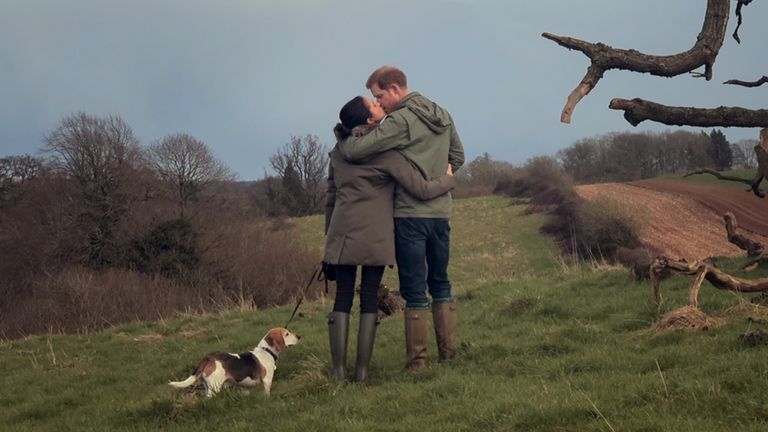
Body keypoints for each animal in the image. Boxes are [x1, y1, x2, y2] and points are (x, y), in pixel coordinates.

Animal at [169, 328, 300, 394]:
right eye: (286, 334)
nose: (299, 337)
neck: (266, 350)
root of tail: (209, 357)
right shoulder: (267, 382)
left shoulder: (246, 387)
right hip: (215, 387)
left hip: (207, 386)